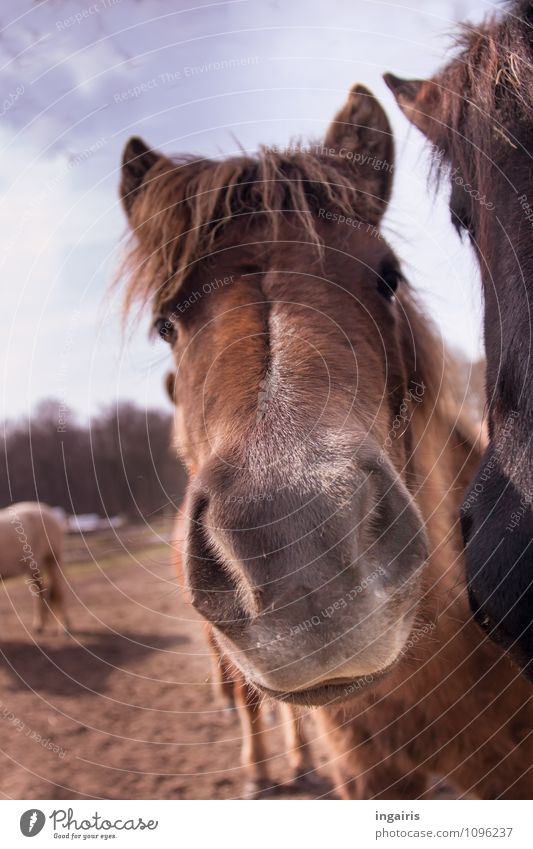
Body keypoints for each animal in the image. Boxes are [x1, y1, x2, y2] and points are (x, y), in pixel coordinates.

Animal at [0, 500, 69, 632]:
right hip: (33, 568)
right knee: (40, 593)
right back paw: (39, 626)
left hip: (53, 560)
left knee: (58, 591)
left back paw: (63, 627)